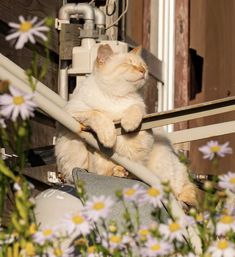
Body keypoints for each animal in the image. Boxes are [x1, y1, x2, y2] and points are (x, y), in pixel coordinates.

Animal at [54, 43, 196, 204]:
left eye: (143, 66)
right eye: (129, 64)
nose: (143, 71)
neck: (116, 96)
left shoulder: (141, 115)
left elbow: (134, 109)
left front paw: (128, 123)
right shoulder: (73, 112)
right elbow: (98, 115)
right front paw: (108, 137)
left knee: (176, 192)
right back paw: (119, 171)